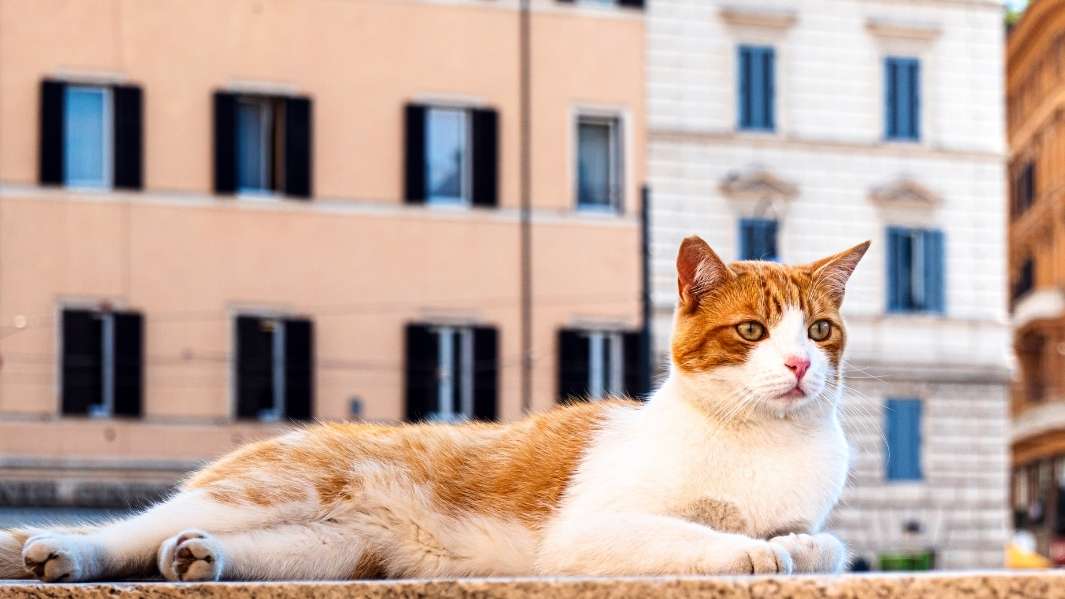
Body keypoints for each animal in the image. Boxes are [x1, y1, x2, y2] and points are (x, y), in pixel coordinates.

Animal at [0, 235, 864, 579]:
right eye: (750, 331)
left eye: (819, 330)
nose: (798, 365)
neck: (760, 441)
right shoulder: (591, 529)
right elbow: (695, 534)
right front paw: (752, 551)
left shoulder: (816, 521)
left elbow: (826, 545)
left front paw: (789, 545)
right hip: (266, 488)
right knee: (127, 529)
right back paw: (65, 550)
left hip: (330, 549)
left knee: (197, 543)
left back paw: (199, 556)